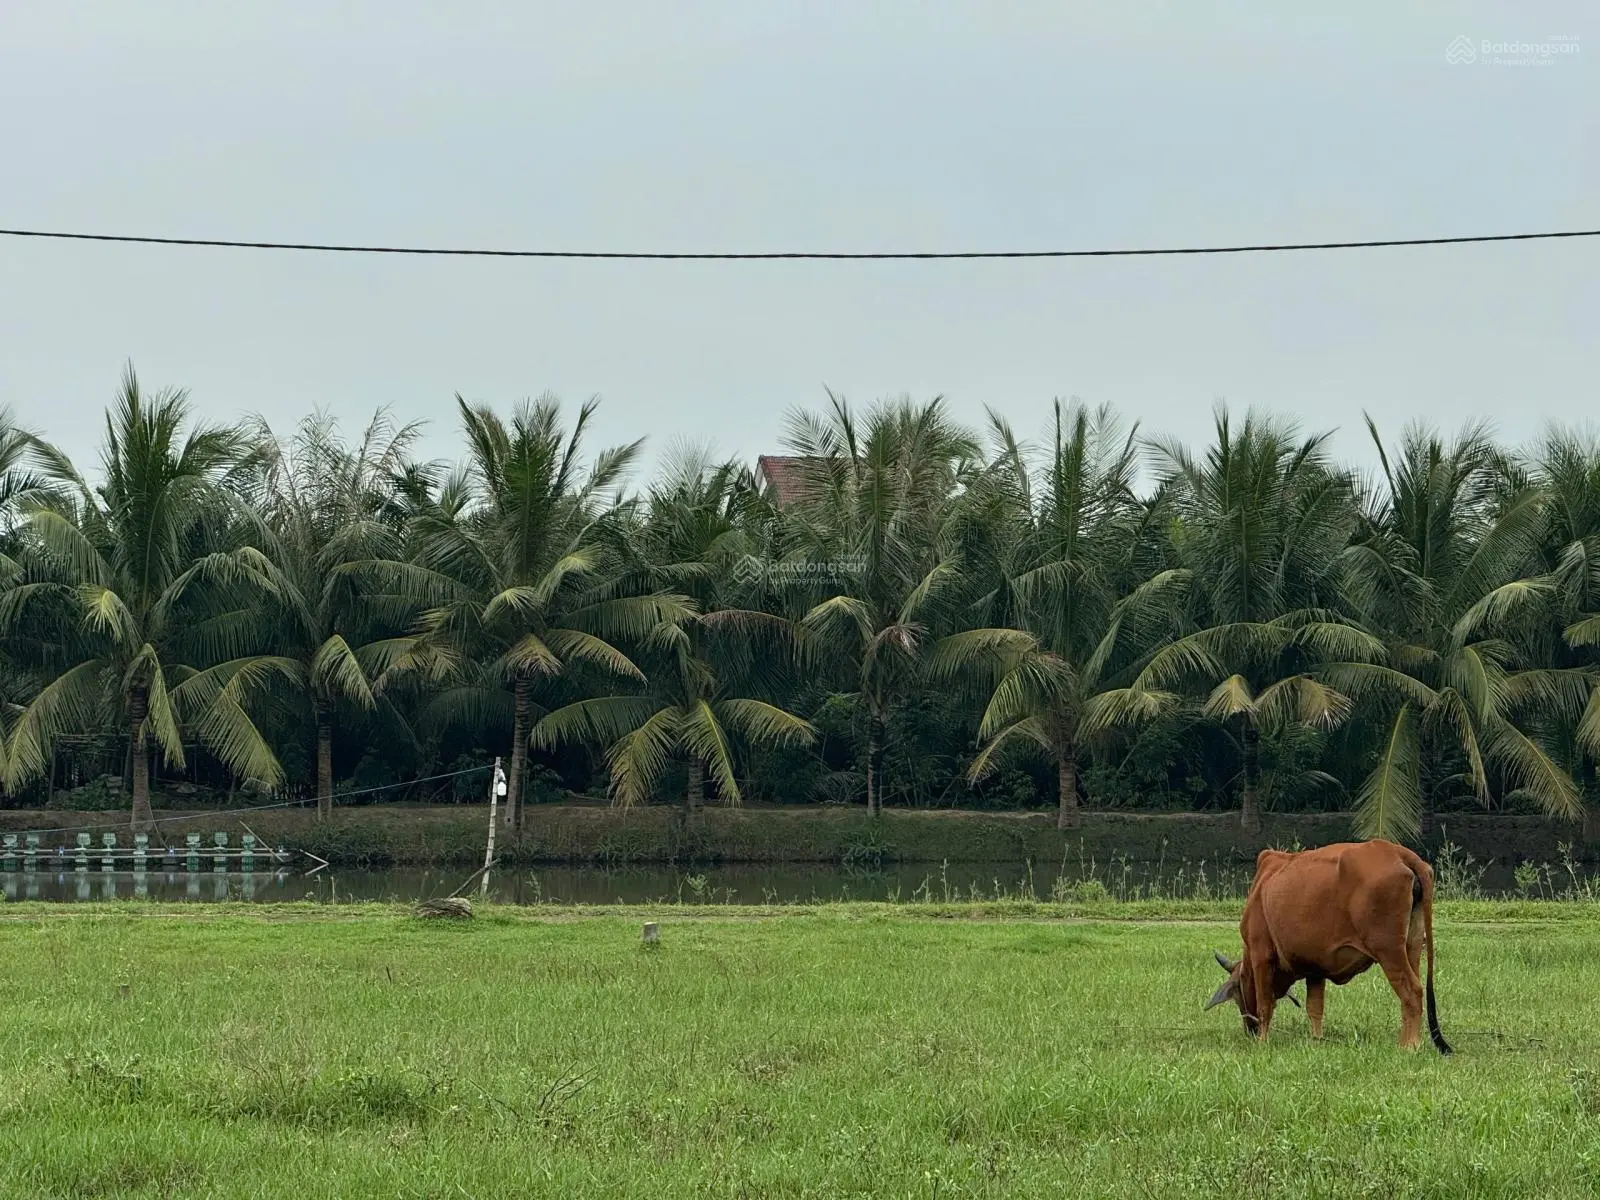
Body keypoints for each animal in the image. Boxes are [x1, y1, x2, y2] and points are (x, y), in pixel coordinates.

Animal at [1203, 838, 1452, 1056]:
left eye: (1237, 995)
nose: (1250, 1031)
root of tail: (1398, 853)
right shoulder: (1315, 968)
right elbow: (1315, 1008)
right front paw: (1317, 1039)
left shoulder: (1261, 954)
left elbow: (1265, 1003)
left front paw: (1263, 1042)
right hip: (1412, 945)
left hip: (1388, 950)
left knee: (1412, 991)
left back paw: (1409, 1045)